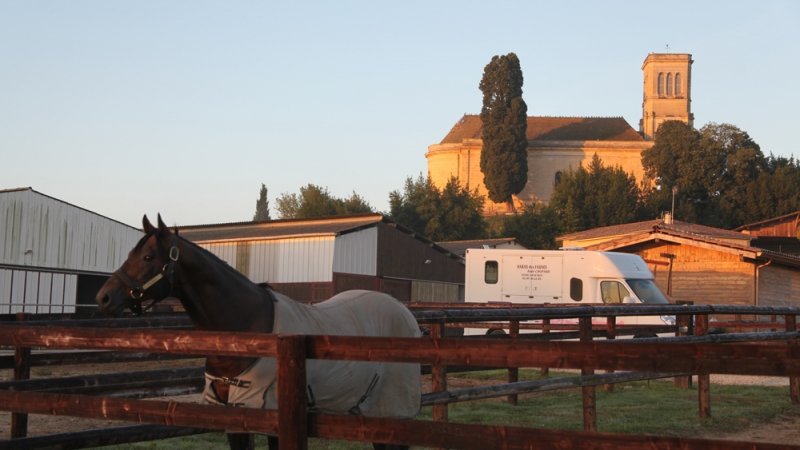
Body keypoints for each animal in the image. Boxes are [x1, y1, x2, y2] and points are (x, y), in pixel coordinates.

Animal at [95, 214, 421, 450]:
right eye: (131, 253)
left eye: (149, 257)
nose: (104, 297)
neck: (246, 327)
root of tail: (405, 313)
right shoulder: (234, 415)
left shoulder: (269, 414)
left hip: (392, 411)